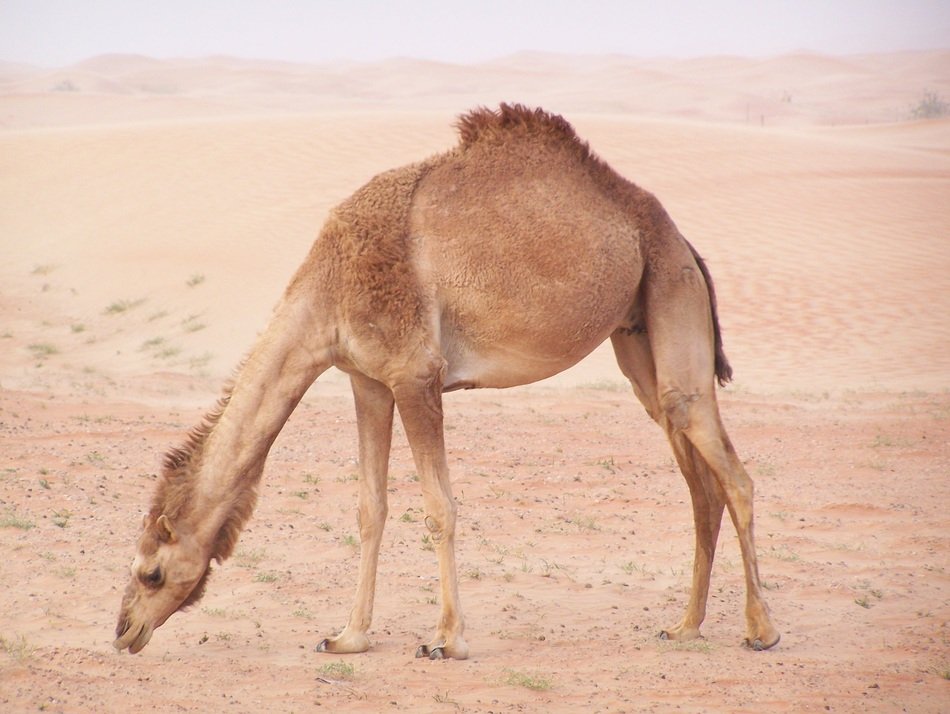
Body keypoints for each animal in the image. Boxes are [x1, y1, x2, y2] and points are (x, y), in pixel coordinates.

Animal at [114, 104, 780, 658]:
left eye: (151, 571)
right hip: (639, 337)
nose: (123, 630)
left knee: (734, 475)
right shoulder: (367, 381)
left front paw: (446, 640)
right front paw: (349, 636)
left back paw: (761, 630)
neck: (328, 290)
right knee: (698, 480)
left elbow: (439, 507)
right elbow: (371, 509)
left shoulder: (416, 376)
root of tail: (680, 238)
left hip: (671, 290)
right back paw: (685, 627)